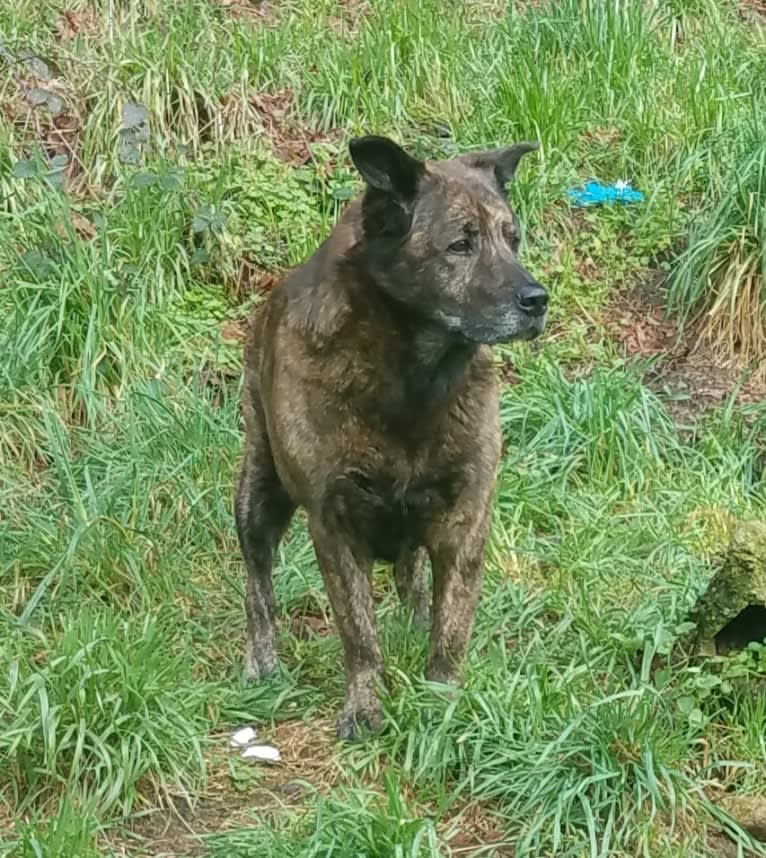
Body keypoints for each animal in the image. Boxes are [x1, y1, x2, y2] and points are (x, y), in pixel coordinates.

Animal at [237, 132, 548, 736]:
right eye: (460, 245)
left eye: (513, 240)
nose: (537, 300)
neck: (412, 381)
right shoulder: (334, 524)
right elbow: (358, 632)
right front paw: (364, 705)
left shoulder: (465, 518)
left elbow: (452, 629)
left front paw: (442, 703)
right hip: (257, 491)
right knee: (257, 580)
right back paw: (262, 658)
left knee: (412, 575)